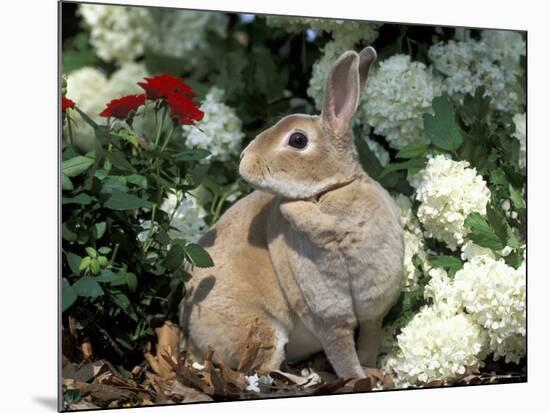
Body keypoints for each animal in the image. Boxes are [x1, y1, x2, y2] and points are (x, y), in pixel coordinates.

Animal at [181, 45, 406, 380]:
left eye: (298, 140)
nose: (244, 158)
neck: (327, 193)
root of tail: (190, 338)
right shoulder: (329, 314)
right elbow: (343, 354)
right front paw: (358, 379)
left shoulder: (372, 311)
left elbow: (367, 342)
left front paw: (371, 372)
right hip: (262, 330)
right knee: (262, 371)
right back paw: (305, 377)